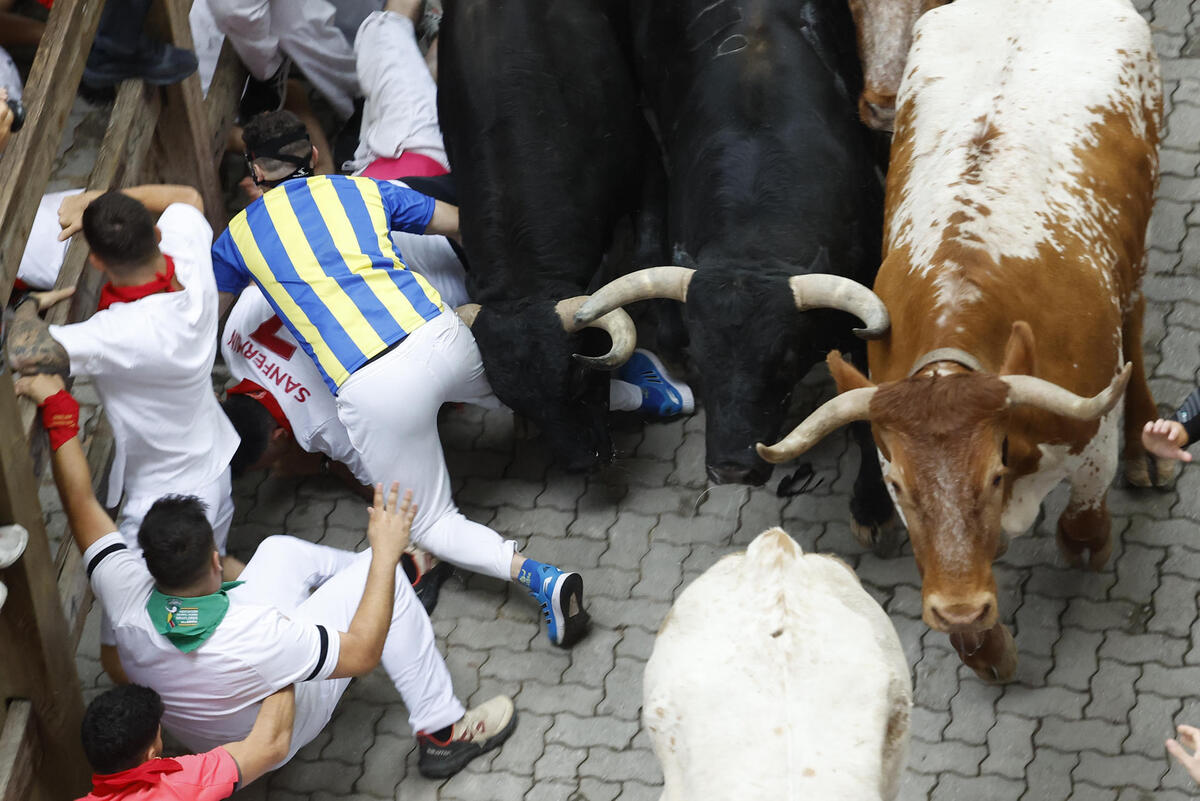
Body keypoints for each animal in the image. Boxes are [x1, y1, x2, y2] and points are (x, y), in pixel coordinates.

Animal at [753, 0, 1166, 681]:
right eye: (898, 487)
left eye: (993, 476)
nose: (960, 607)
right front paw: (983, 644)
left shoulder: (1089, 438)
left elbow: (1082, 524)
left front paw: (1085, 539)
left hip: (1135, 251)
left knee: (1135, 315)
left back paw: (1145, 444)